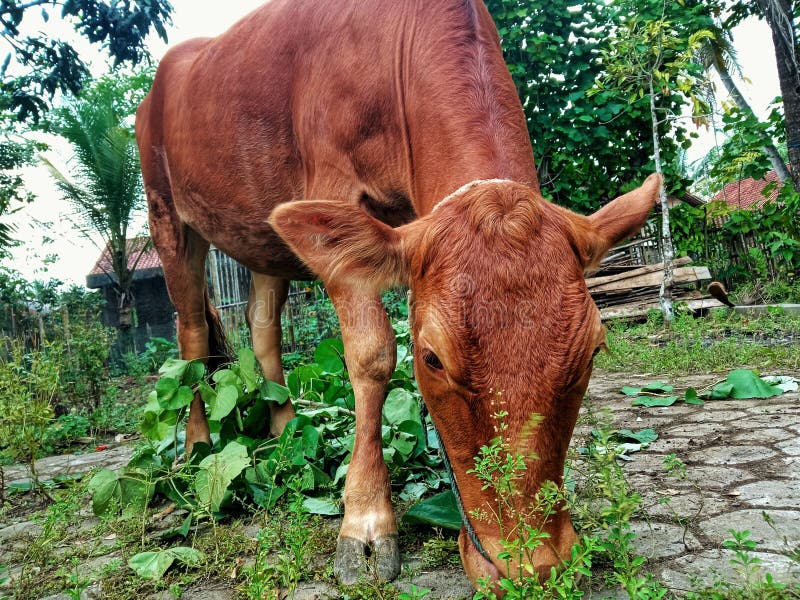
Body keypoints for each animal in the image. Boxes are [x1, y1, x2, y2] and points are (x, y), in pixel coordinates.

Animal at [135, 0, 660, 588]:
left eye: (592, 352)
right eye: (432, 359)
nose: (533, 564)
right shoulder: (334, 187)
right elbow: (373, 356)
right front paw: (365, 520)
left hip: (263, 231)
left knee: (262, 321)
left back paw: (288, 436)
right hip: (166, 213)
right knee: (191, 333)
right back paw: (197, 448)